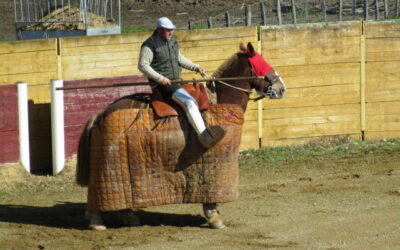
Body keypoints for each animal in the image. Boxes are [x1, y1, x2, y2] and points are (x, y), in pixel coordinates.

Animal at [76, 41, 286, 230]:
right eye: (262, 64)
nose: (281, 88)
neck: (219, 100)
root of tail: (100, 115)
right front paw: (214, 217)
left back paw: (128, 217)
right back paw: (97, 222)